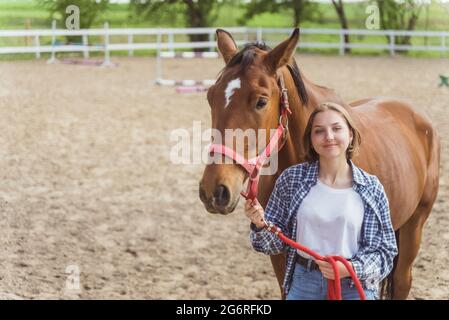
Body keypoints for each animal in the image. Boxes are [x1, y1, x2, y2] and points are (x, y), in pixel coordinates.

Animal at [198, 28, 440, 300]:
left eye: (261, 101)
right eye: (210, 97)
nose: (214, 190)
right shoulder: (281, 252)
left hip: (414, 225)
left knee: (401, 280)